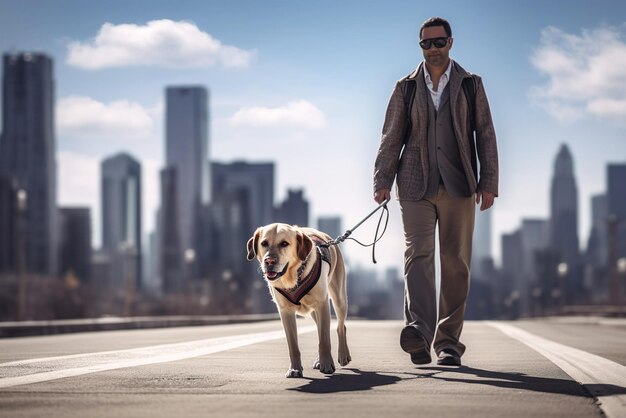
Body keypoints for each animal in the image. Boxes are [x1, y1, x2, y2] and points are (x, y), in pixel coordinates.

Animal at [245, 224, 352, 378]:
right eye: (264, 243)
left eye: (284, 243)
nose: (269, 261)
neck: (293, 278)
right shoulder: (285, 312)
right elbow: (293, 345)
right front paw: (295, 369)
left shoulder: (322, 304)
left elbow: (324, 340)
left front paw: (326, 364)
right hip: (314, 311)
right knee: (321, 329)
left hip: (339, 299)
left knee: (340, 327)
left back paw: (343, 355)